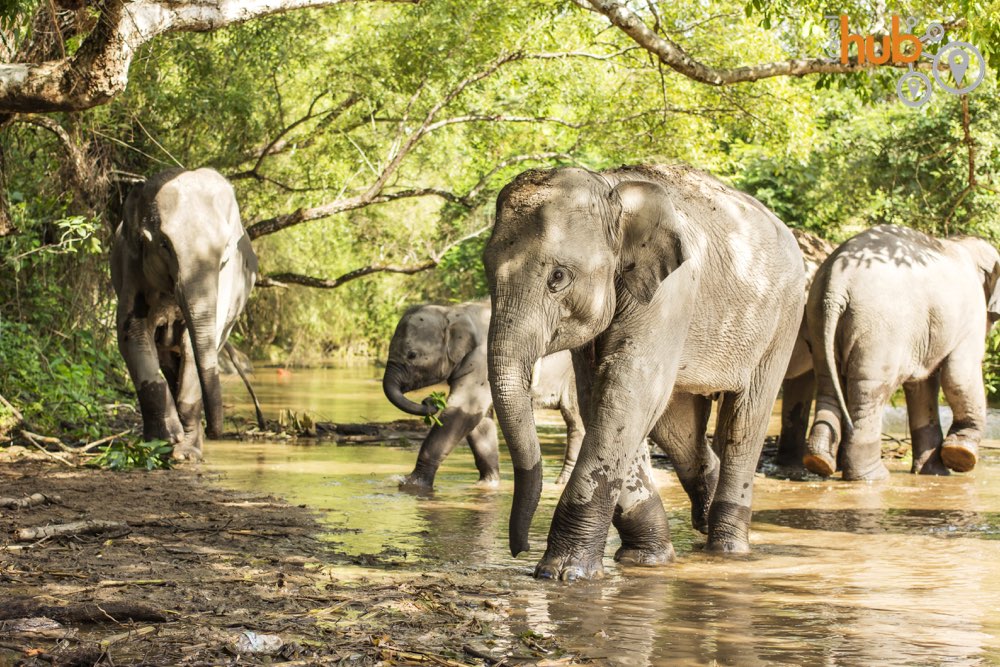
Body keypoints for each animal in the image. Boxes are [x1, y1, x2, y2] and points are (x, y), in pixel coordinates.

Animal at [111, 168, 258, 460]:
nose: (215, 431)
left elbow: (193, 344)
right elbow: (131, 334)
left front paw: (186, 452)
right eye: (164, 245)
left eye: (226, 252)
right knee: (167, 361)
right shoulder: (132, 267)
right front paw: (164, 441)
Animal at [382, 302, 584, 490]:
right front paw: (486, 485)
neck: (455, 312)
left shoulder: (483, 361)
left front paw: (411, 484)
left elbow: (463, 410)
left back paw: (561, 483)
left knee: (576, 422)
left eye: (412, 355)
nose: (429, 400)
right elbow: (480, 422)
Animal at [484, 163, 804, 580]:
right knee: (677, 429)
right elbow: (602, 397)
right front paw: (645, 559)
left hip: (783, 319)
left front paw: (563, 573)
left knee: (745, 421)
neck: (612, 190)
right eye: (487, 272)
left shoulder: (673, 290)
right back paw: (703, 523)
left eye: (557, 277)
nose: (518, 549)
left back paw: (727, 550)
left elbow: (626, 390)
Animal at [804, 224, 1000, 480]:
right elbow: (959, 374)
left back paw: (820, 462)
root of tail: (837, 280)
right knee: (870, 392)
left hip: (818, 316)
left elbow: (923, 386)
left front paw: (935, 472)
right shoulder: (970, 314)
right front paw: (960, 456)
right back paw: (873, 477)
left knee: (828, 382)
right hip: (879, 327)